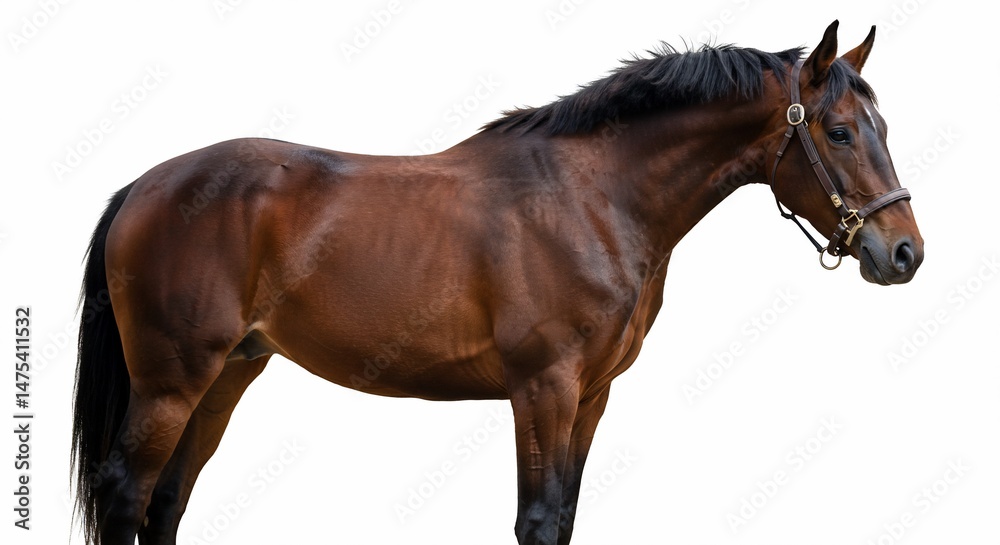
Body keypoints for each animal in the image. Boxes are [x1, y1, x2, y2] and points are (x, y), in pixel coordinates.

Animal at [72, 20, 922, 545]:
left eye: (883, 128)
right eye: (839, 132)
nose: (905, 252)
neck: (593, 197)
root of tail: (144, 186)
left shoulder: (590, 394)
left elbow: (565, 516)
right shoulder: (541, 388)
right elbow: (536, 520)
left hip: (227, 373)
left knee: (166, 499)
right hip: (172, 381)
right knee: (125, 492)